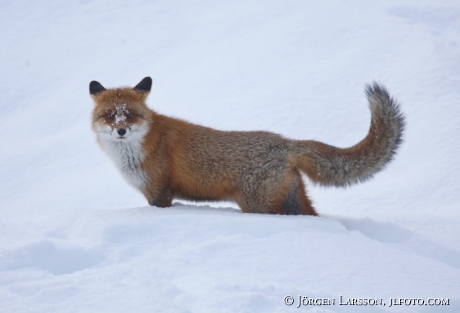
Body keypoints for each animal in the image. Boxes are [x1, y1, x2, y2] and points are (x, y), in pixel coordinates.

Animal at [88, 77, 404, 216]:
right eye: (109, 115)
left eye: (130, 114)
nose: (121, 130)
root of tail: (285, 142)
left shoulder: (160, 193)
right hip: (292, 201)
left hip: (257, 204)